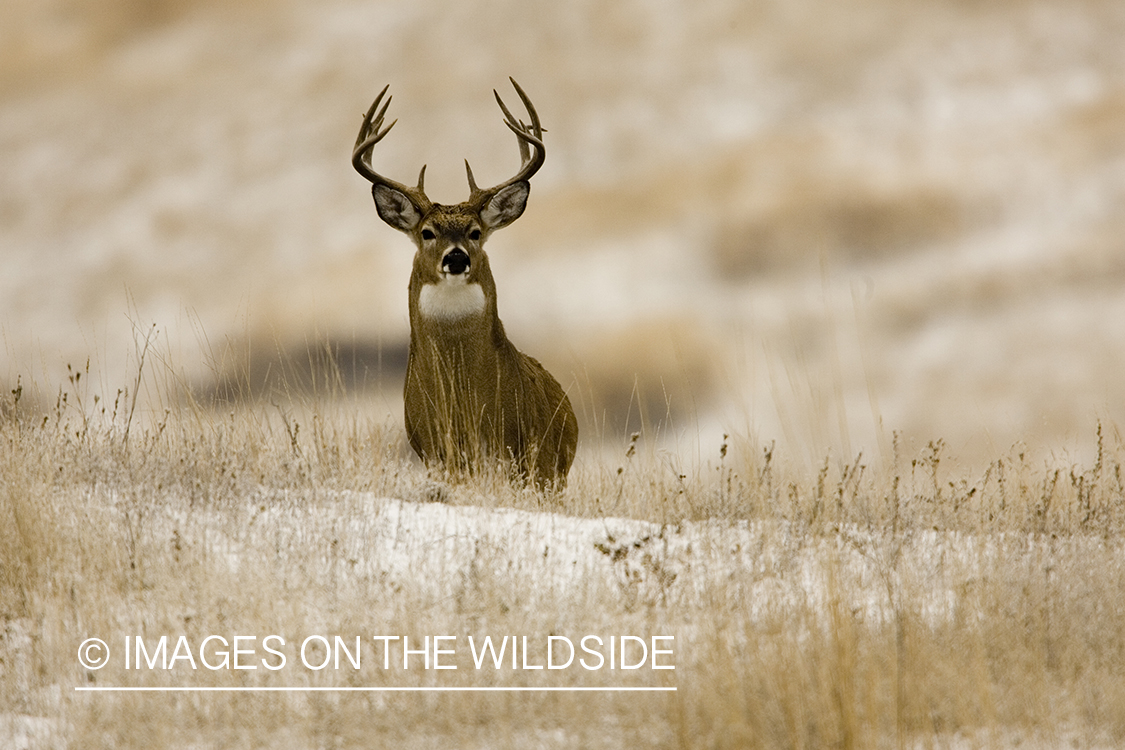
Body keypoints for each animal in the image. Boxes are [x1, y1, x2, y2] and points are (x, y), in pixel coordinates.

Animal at [353, 77, 580, 488]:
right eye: (427, 232)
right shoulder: (433, 449)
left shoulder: (517, 451)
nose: (456, 258)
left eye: (475, 232)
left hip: (553, 472)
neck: (462, 397)